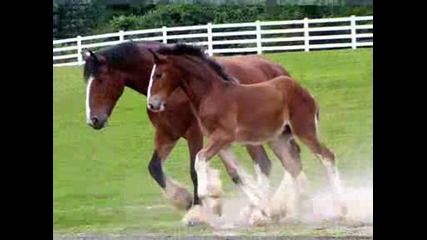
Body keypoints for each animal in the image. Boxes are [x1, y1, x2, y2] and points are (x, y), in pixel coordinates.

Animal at [82, 39, 302, 221]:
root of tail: (279, 70)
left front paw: (198, 209)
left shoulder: (194, 133)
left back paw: (278, 204)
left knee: (278, 161)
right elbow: (154, 168)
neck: (176, 91)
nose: (94, 120)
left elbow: (194, 171)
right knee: (284, 159)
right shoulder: (167, 135)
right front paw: (184, 199)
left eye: (100, 79)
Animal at [147, 43, 348, 223]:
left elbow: (200, 159)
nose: (152, 104)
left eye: (158, 74)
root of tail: (303, 90)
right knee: (293, 166)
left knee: (327, 156)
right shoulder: (222, 142)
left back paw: (341, 208)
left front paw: (207, 196)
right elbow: (236, 173)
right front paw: (258, 208)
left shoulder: (222, 136)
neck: (212, 94)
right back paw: (302, 207)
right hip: (279, 139)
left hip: (304, 130)